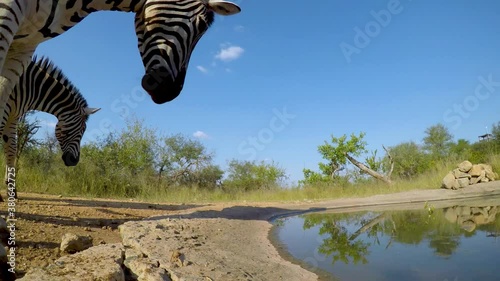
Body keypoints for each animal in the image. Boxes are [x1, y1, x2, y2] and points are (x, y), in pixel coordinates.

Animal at [0, 57, 99, 200]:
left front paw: (11, 189)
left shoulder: (13, 116)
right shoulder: (5, 106)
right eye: (82, 130)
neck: (31, 85)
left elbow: (11, 149)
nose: (74, 161)